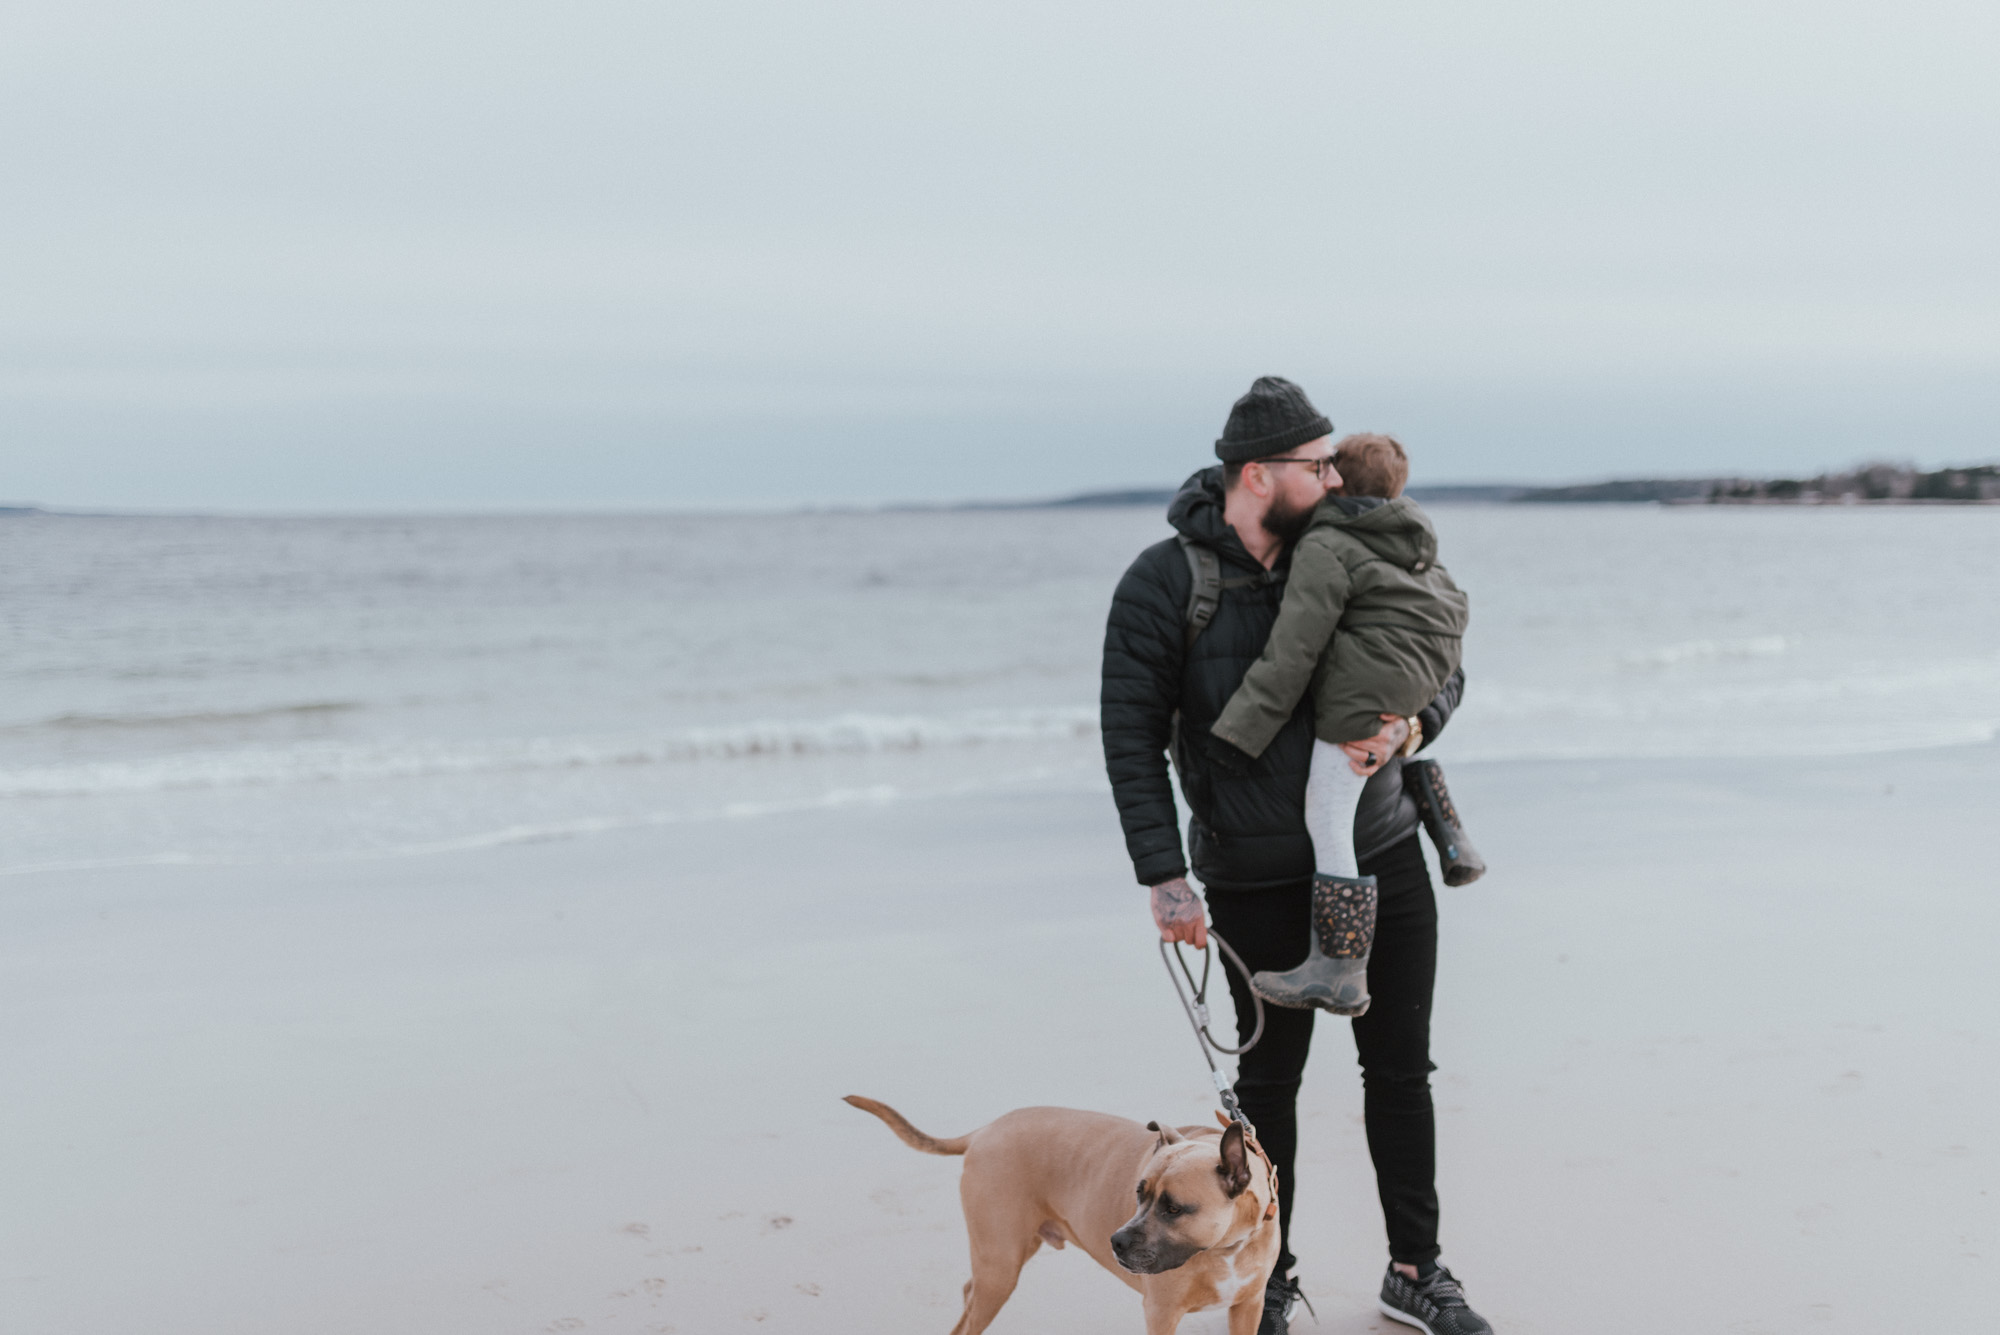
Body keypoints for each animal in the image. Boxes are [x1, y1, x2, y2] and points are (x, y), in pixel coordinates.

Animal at [844, 1095, 1280, 1335]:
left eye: (1174, 1208)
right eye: (1138, 1194)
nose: (1115, 1241)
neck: (1226, 1248)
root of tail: (985, 1131)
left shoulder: (1248, 1308)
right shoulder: (1160, 1315)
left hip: (1004, 1259)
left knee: (970, 1294)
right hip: (1001, 1264)